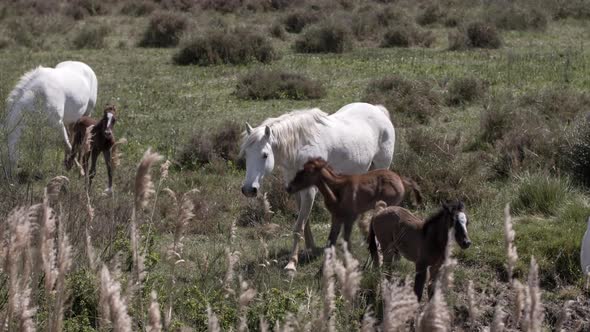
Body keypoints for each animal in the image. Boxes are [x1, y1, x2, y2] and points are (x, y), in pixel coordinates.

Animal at [240, 102, 398, 272]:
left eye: (265, 155)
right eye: (246, 155)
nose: (248, 190)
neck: (300, 148)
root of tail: (378, 109)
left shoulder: (309, 191)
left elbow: (298, 227)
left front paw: (291, 264)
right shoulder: (297, 190)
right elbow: (305, 223)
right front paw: (310, 249)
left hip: (382, 168)